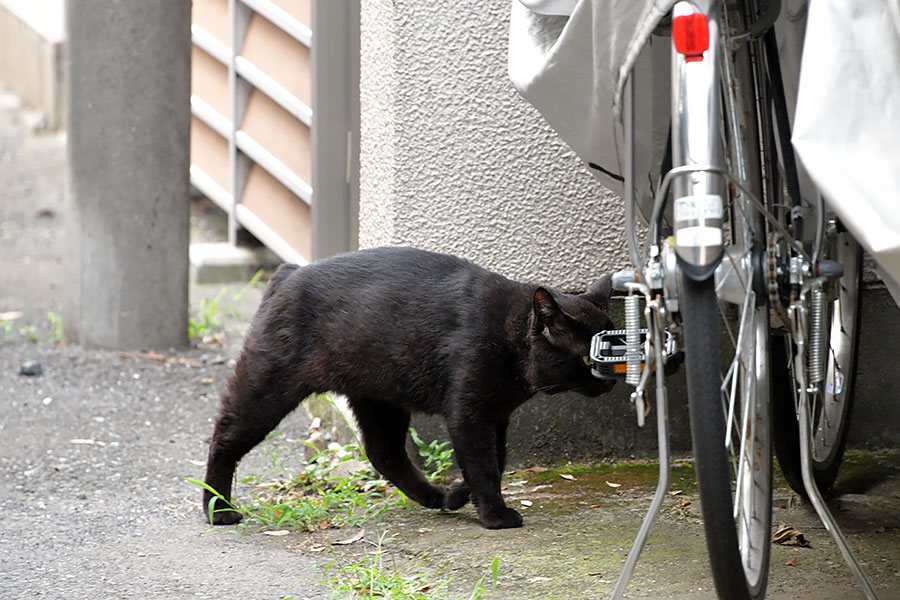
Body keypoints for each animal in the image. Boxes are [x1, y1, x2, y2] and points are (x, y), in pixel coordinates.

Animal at [203, 246, 616, 528]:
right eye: (587, 359)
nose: (612, 380)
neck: (508, 333)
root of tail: (289, 272)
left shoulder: (496, 417)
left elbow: (497, 462)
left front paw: (464, 495)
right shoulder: (469, 416)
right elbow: (483, 464)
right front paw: (495, 514)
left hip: (379, 399)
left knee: (383, 454)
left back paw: (437, 497)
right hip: (268, 386)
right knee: (224, 437)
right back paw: (217, 509)